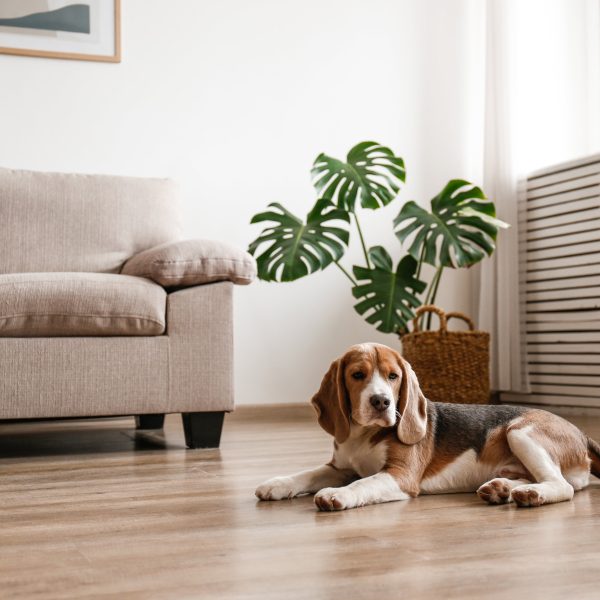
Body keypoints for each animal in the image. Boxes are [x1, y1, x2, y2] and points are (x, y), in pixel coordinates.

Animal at [254, 344, 600, 508]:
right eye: (357, 375)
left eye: (393, 376)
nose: (381, 402)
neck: (363, 435)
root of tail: (582, 433)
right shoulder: (340, 467)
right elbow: (308, 473)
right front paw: (278, 484)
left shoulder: (400, 476)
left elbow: (362, 484)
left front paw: (337, 495)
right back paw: (502, 489)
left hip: (520, 431)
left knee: (562, 486)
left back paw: (529, 494)